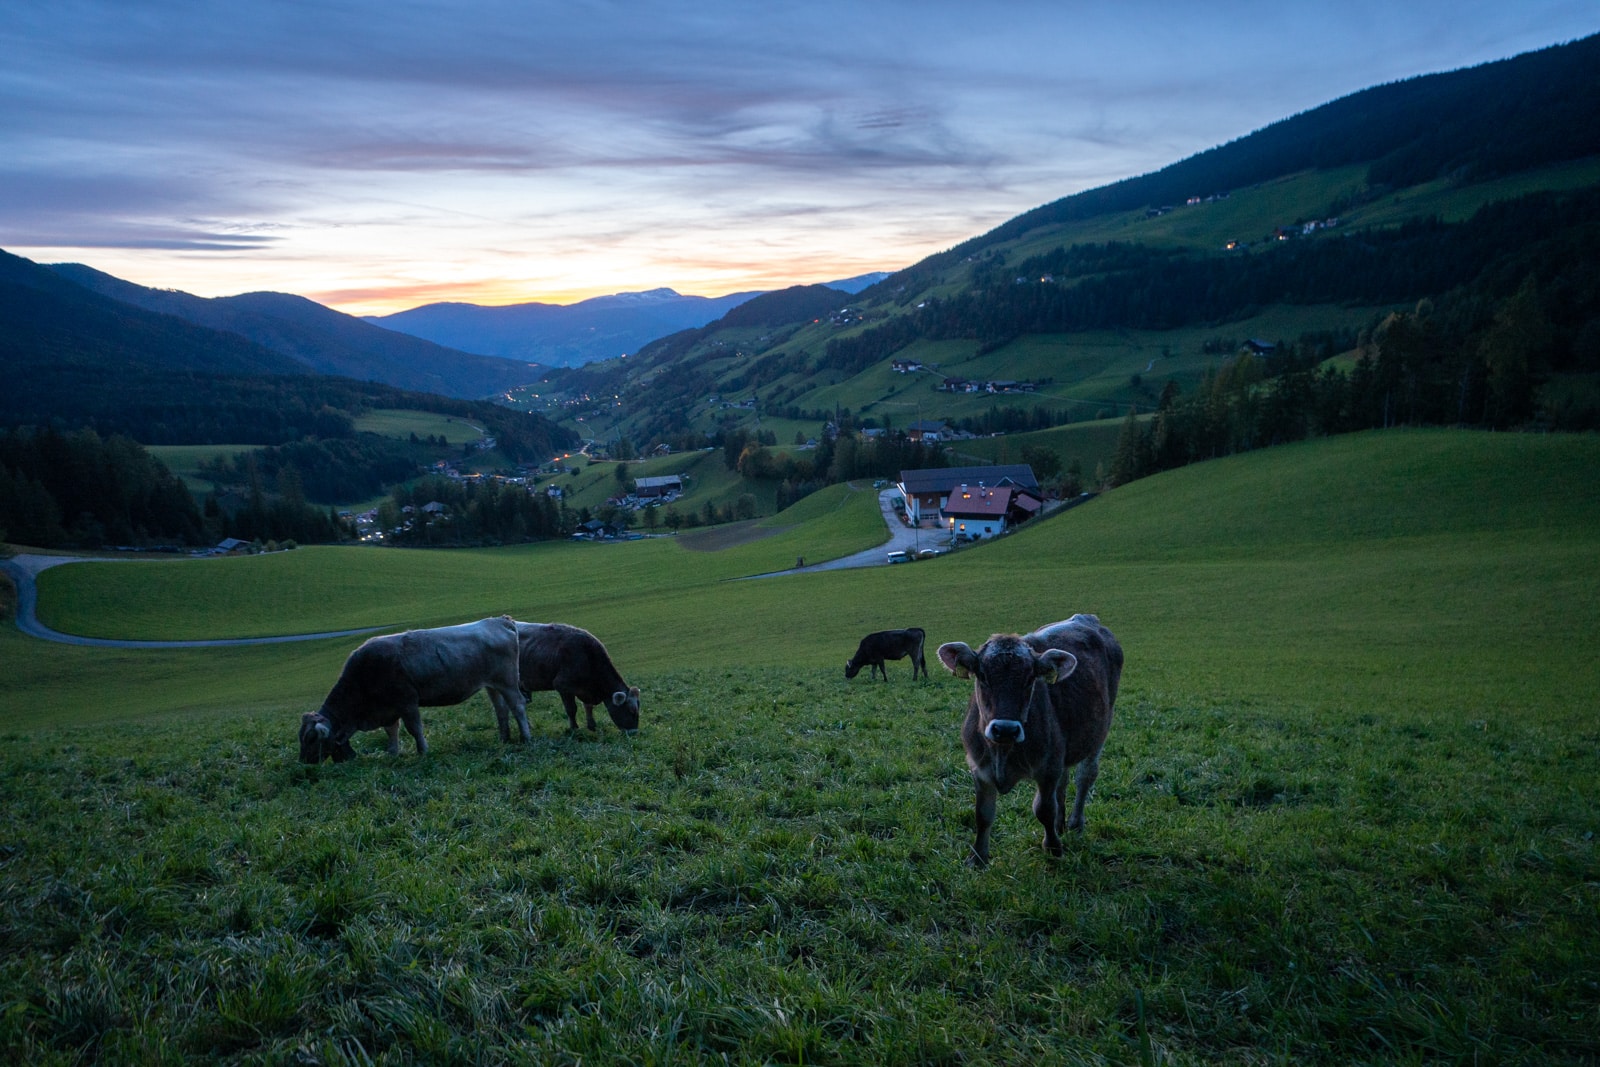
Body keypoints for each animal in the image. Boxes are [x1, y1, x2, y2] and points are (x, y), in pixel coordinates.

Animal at [297, 614, 528, 764]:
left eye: (310, 738)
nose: (303, 763)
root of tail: (499, 620)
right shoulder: (387, 709)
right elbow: (391, 731)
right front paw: (392, 753)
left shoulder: (406, 701)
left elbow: (414, 728)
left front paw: (423, 752)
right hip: (492, 685)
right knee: (501, 710)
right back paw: (504, 738)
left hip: (507, 682)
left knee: (517, 706)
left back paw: (526, 738)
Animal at [934, 617, 1126, 870]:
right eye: (982, 675)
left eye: (1030, 678)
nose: (1005, 728)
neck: (1002, 752)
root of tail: (1084, 617)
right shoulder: (979, 769)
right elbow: (983, 815)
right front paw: (977, 858)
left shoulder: (1048, 768)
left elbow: (1044, 809)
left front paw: (1053, 847)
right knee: (1064, 781)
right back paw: (1061, 824)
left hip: (1101, 730)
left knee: (1085, 776)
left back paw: (1075, 823)